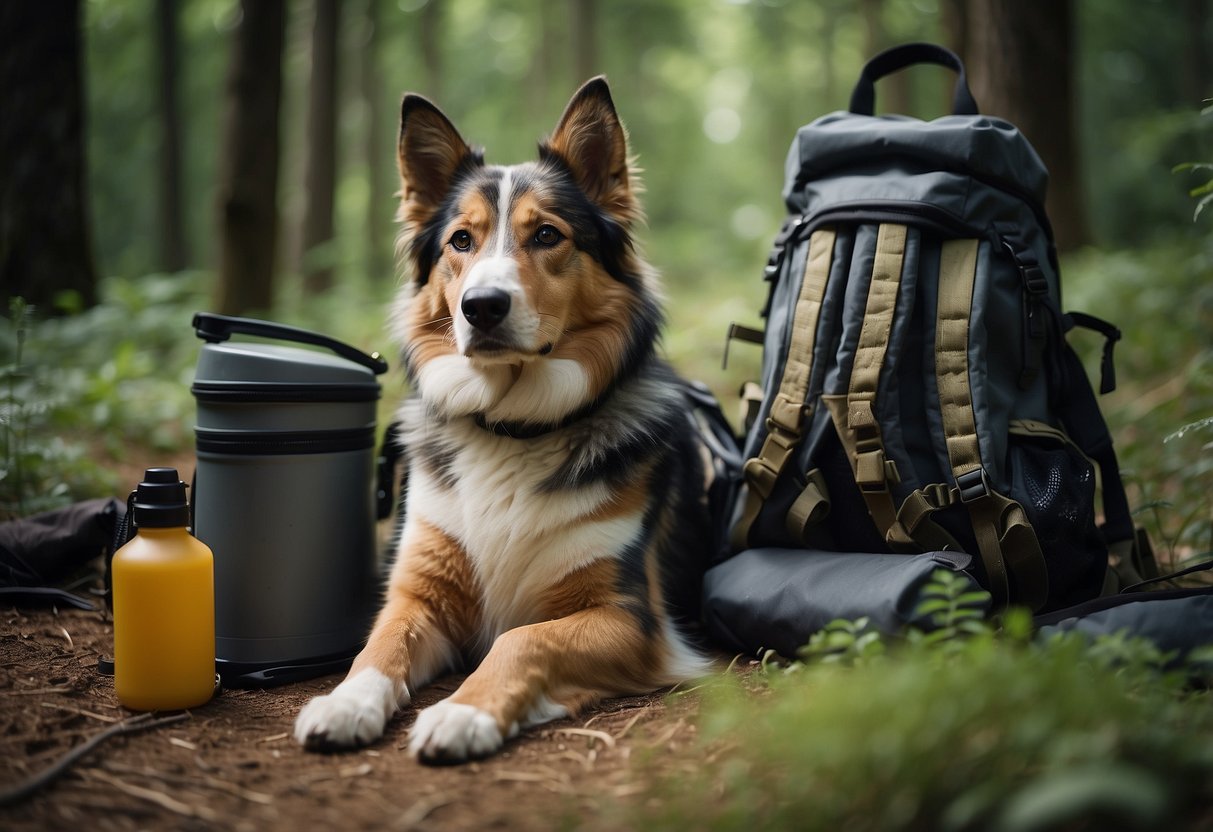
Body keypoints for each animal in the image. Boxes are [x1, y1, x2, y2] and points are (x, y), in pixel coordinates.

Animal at [292, 74, 713, 766]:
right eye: (461, 241)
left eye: (546, 236)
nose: (482, 307)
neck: (513, 427)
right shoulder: (419, 590)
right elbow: (379, 644)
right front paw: (345, 703)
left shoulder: (630, 617)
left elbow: (522, 639)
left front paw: (462, 712)